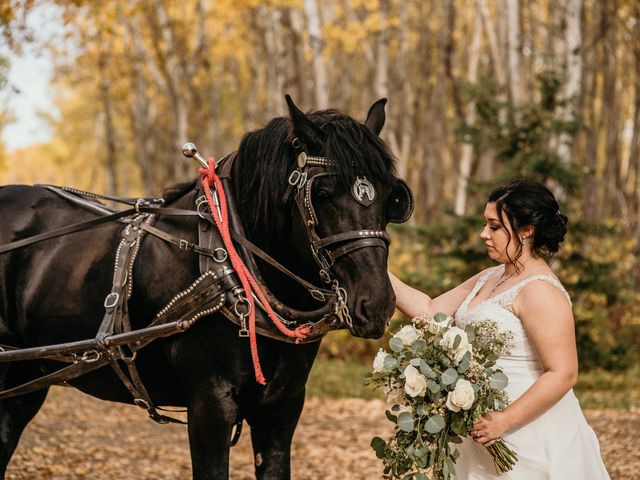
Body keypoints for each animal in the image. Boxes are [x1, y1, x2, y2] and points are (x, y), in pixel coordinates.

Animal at [0, 95, 410, 478]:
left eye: (391, 196)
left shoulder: (282, 409)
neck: (234, 261)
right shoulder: (210, 407)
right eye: (322, 193)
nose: (376, 303)